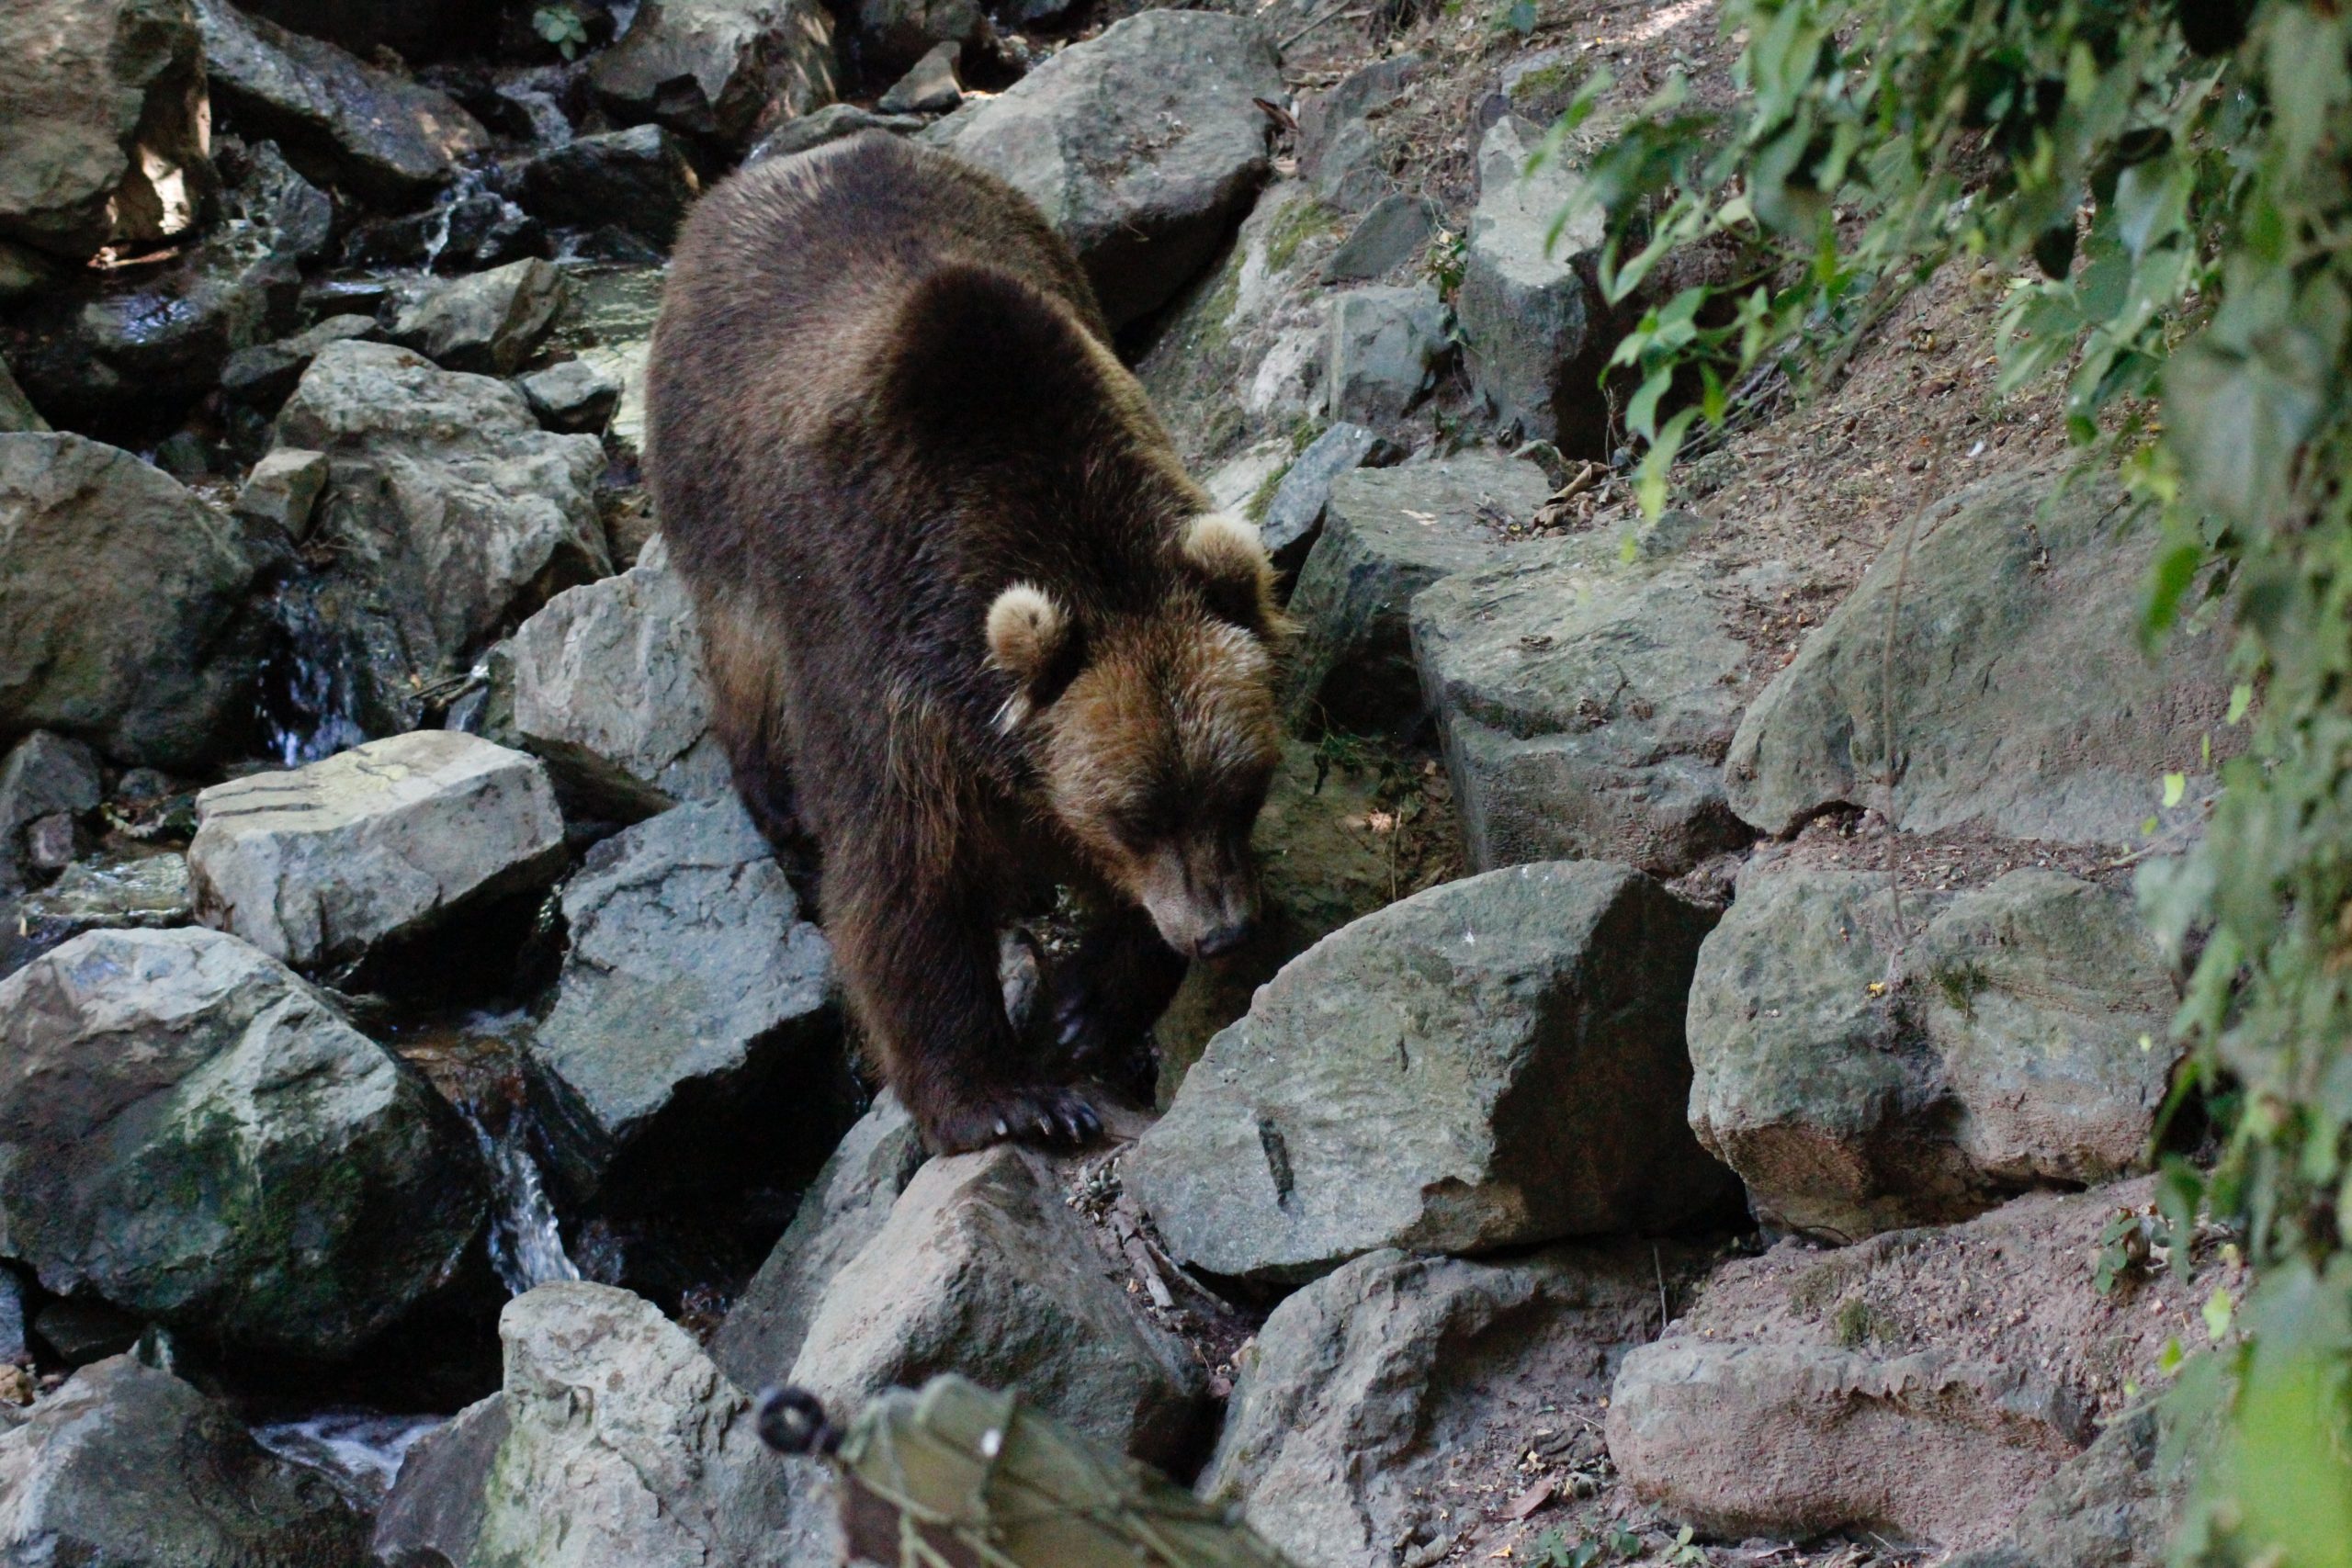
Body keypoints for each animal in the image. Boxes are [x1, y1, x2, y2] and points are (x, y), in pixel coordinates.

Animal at [644, 131, 1288, 1152]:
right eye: (1134, 813)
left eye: (1242, 787)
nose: (1219, 931)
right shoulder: (875, 649)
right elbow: (902, 881)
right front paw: (1008, 1093)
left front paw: (1086, 1003)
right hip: (711, 483)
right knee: (740, 659)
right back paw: (778, 805)